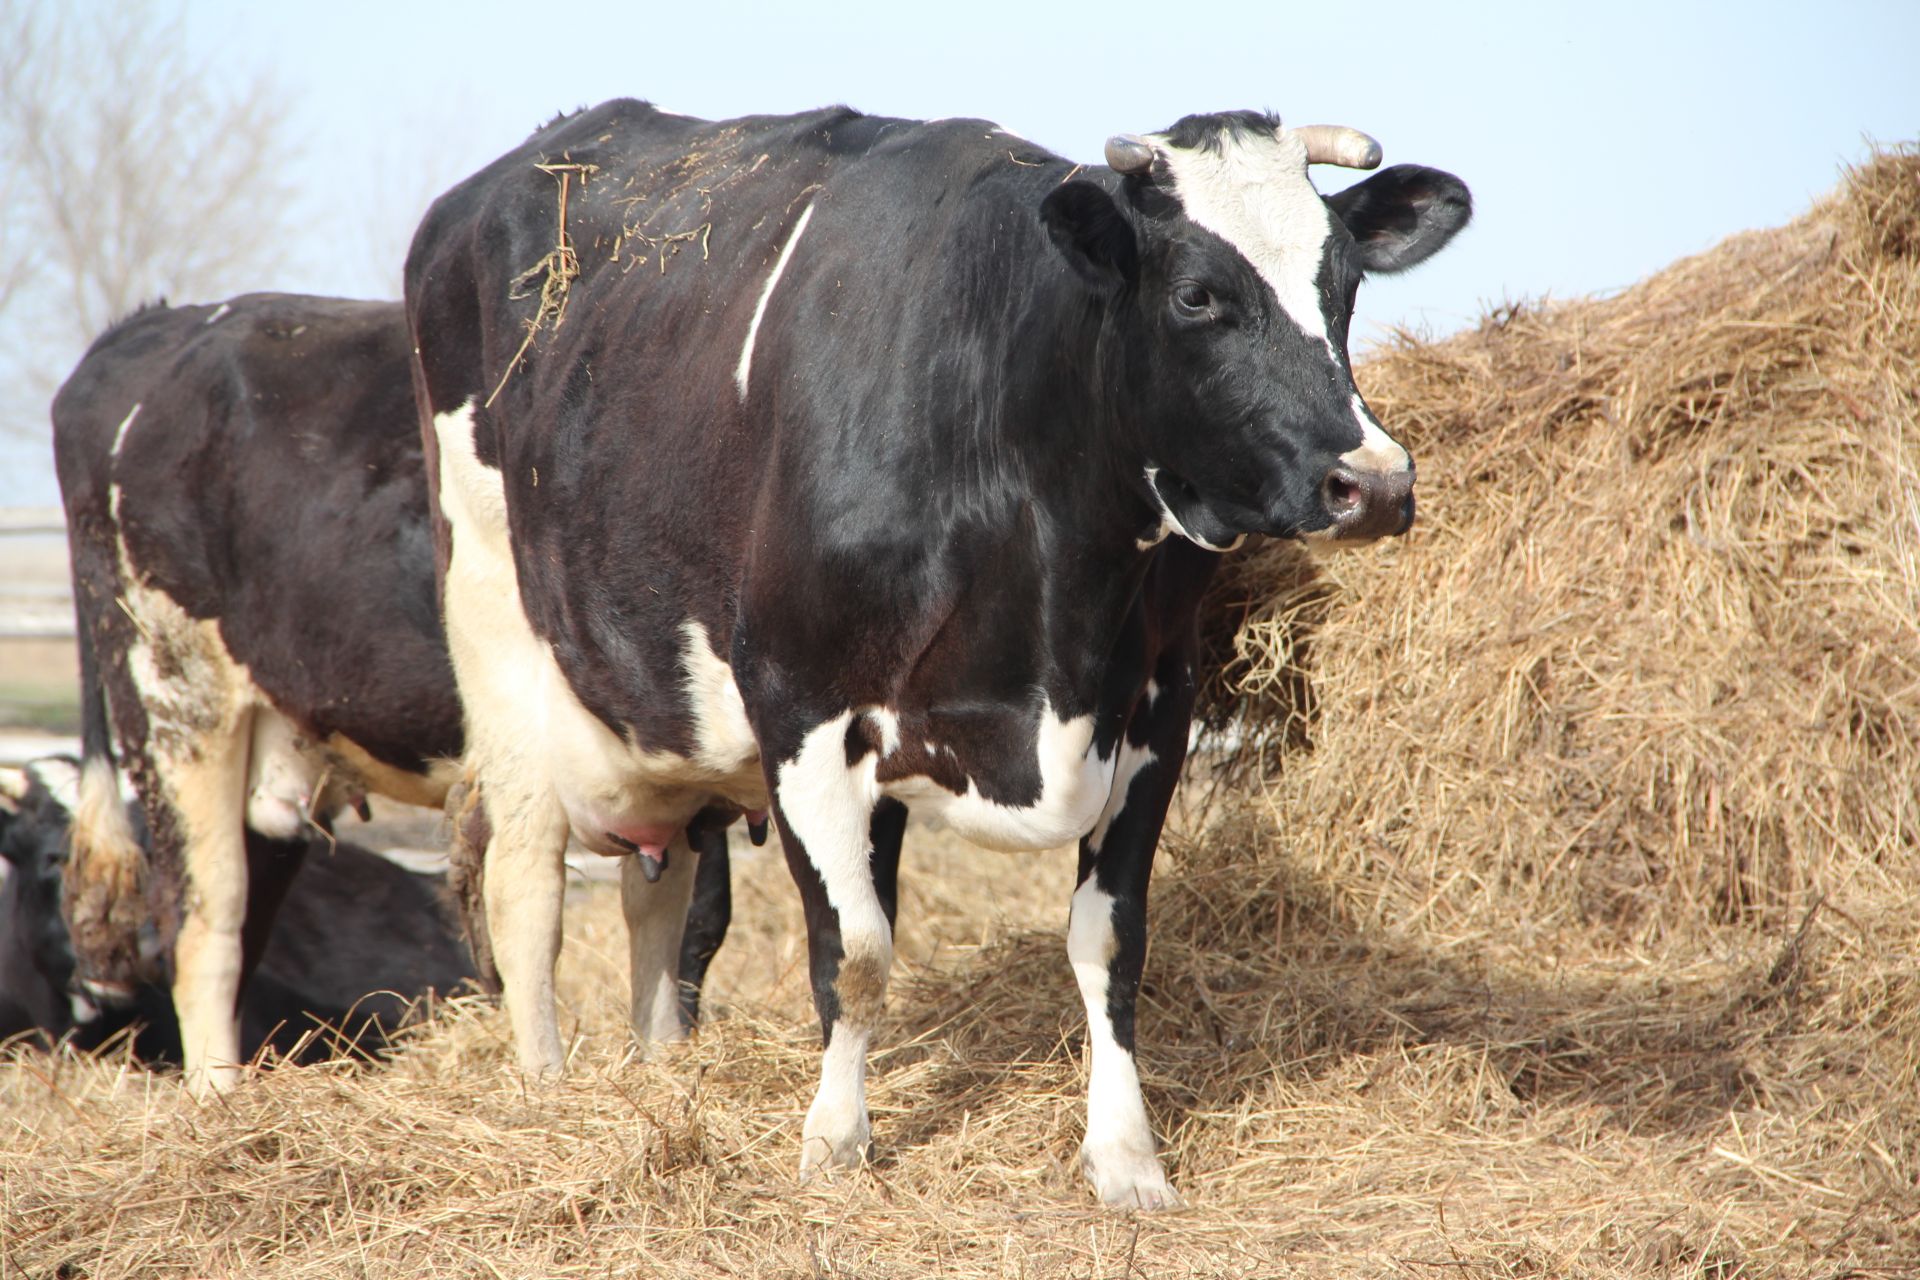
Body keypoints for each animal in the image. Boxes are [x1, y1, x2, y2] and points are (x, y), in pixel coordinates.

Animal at [408, 102, 1466, 1212]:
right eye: (1197, 294)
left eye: (1345, 284)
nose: (1376, 482)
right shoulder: (800, 700)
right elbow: (857, 952)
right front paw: (834, 1144)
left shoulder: (1154, 707)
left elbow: (1110, 940)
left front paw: (1126, 1157)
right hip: (494, 624)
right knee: (524, 885)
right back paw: (545, 1093)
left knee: (657, 894)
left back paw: (661, 1066)